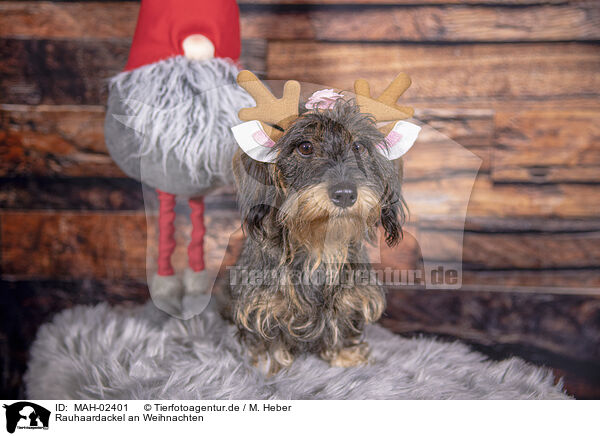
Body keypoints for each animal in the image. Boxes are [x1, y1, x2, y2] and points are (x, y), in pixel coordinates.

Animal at [220, 71, 418, 374]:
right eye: (305, 147)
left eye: (359, 146)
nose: (345, 194)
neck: (319, 247)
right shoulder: (261, 305)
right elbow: (268, 335)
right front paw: (270, 364)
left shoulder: (353, 298)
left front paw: (348, 357)